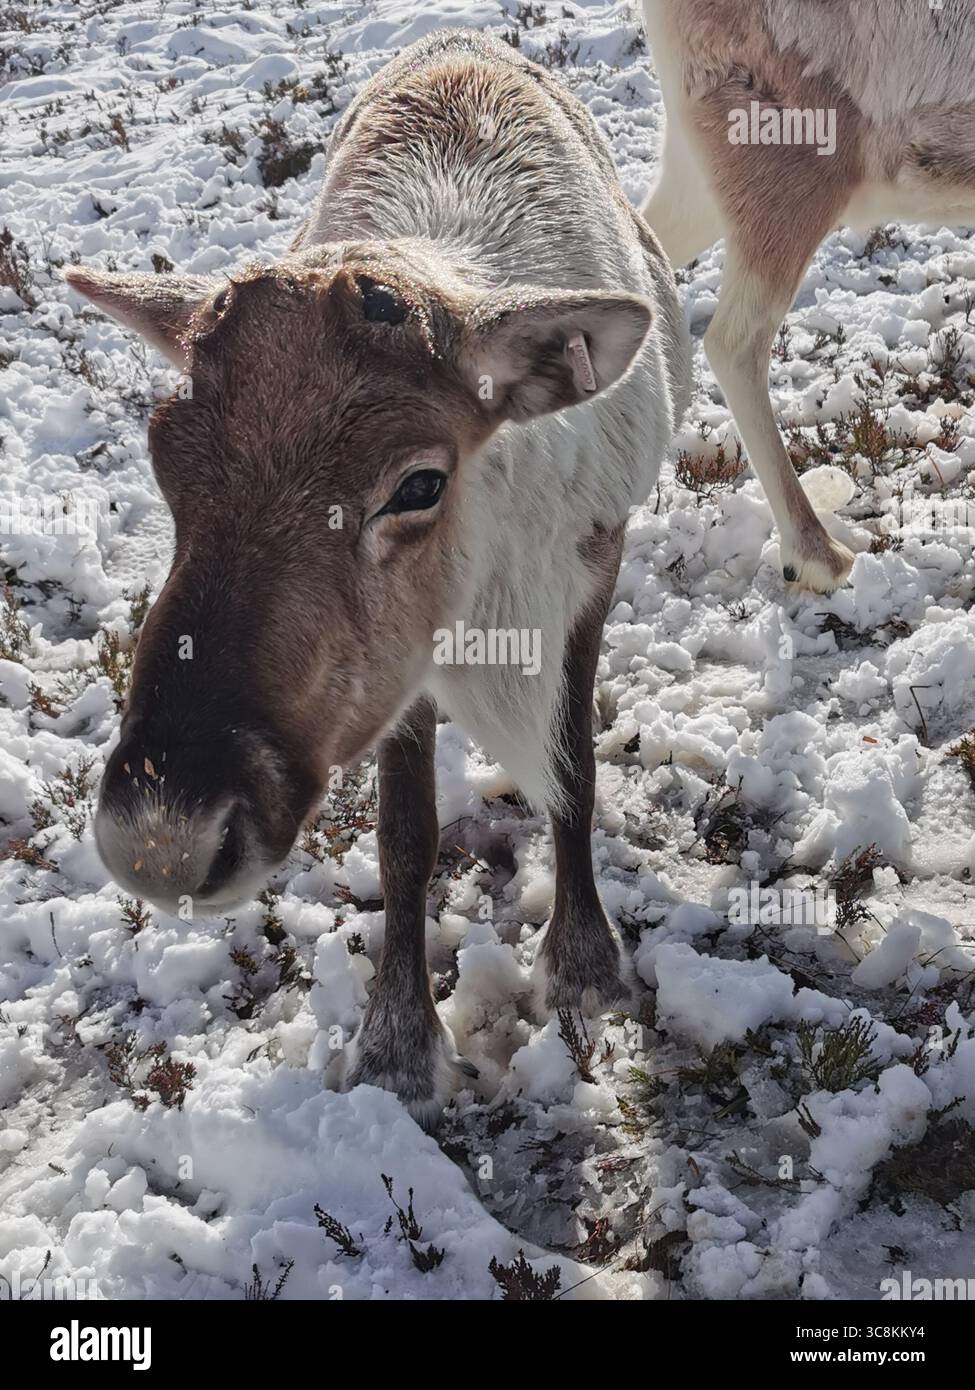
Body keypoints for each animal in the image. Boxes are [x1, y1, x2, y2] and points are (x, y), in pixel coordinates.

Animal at [66, 30, 691, 1128]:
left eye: (418, 481)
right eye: (163, 456)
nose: (162, 838)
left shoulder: (593, 562)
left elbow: (574, 765)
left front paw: (584, 962)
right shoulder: (407, 666)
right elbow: (406, 833)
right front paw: (399, 1041)